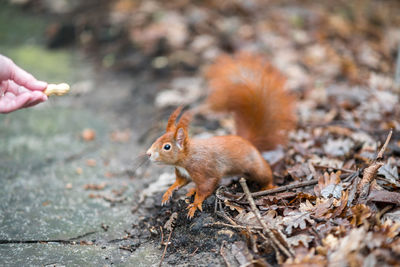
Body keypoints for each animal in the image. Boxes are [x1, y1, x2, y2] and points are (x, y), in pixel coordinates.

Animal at [145, 53, 296, 219]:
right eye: (157, 139)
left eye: (167, 147)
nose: (148, 154)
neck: (186, 158)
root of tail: (246, 140)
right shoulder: (183, 174)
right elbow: (179, 183)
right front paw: (168, 192)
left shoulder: (203, 170)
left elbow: (207, 187)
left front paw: (195, 204)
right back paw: (192, 190)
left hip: (256, 167)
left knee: (265, 174)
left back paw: (269, 185)